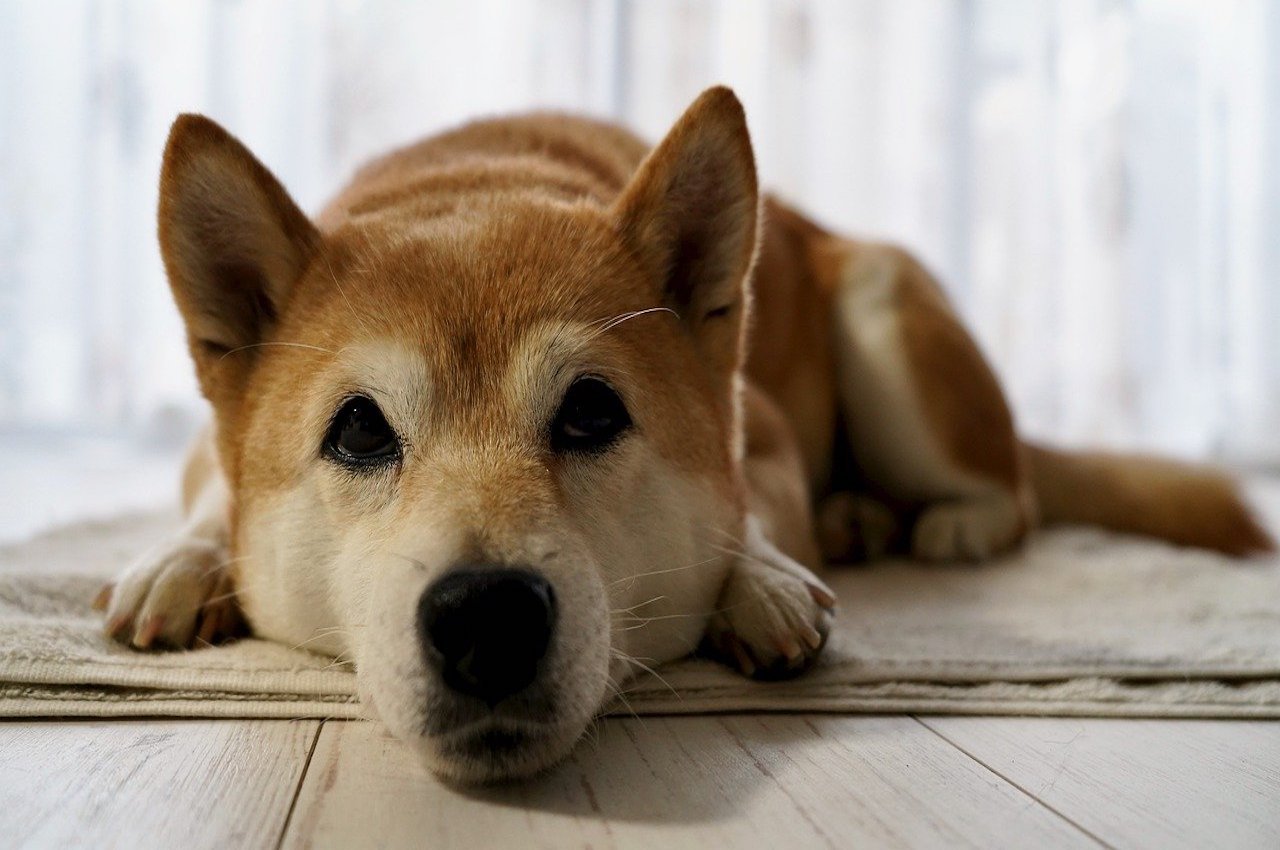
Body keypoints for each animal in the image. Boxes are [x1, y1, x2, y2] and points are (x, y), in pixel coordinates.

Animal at [94, 86, 1274, 783]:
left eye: (591, 412)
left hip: (882, 310)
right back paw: (860, 519)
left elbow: (751, 512)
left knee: (1014, 490)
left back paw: (942, 526)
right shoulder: (208, 448)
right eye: (357, 430)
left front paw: (760, 579)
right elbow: (210, 496)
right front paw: (178, 562)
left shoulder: (762, 432)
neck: (479, 183)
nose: (487, 616)